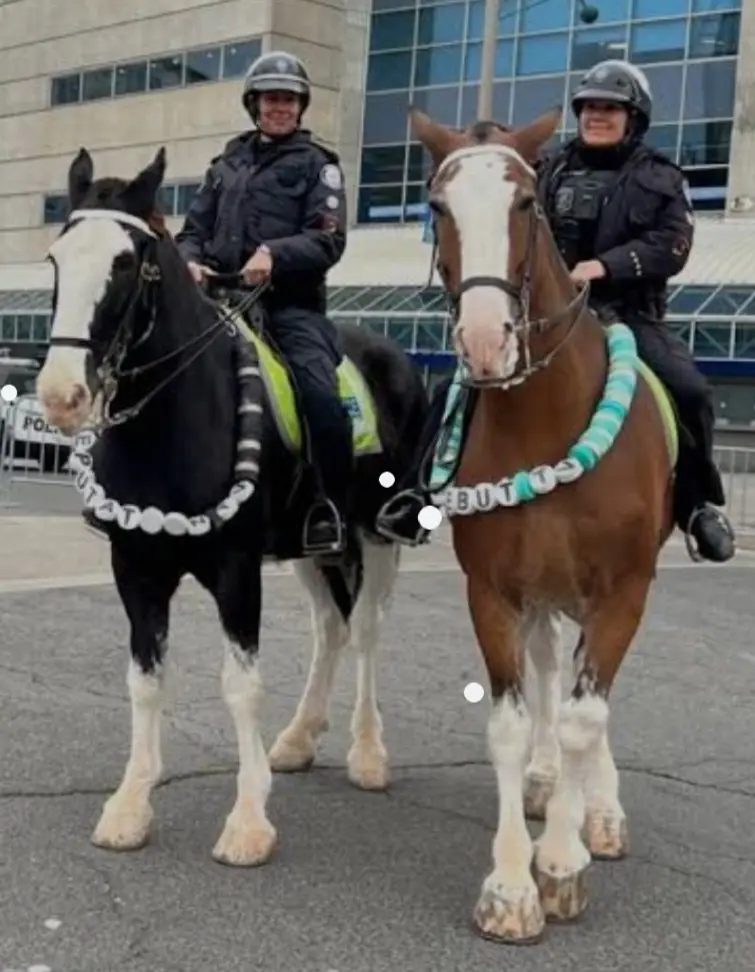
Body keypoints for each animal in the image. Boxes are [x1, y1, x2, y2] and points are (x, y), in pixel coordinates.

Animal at [35, 145, 429, 865]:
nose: (60, 396)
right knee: (329, 628)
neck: (176, 421)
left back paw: (367, 754)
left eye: (126, 262)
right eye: (56, 257)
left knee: (363, 631)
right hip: (314, 545)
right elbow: (145, 678)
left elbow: (241, 687)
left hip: (378, 533)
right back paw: (299, 740)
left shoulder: (236, 568)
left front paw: (248, 821)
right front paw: (129, 806)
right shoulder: (136, 566)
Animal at [409, 106, 678, 943]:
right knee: (551, 670)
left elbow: (586, 720)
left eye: (525, 204)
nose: (484, 341)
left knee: (587, 700)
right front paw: (509, 887)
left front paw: (560, 864)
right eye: (436, 206)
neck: (544, 417)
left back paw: (598, 812)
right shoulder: (494, 592)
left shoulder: (623, 590)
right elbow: (512, 720)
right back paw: (543, 779)